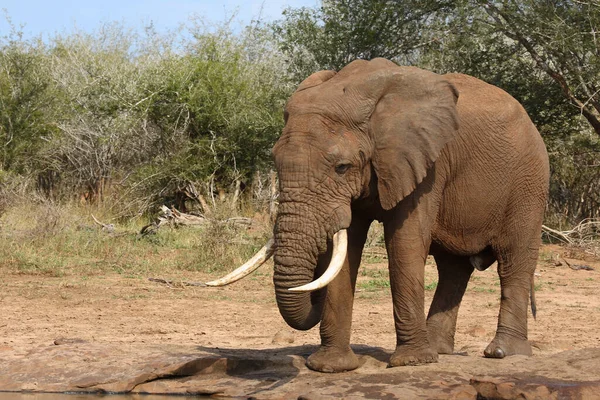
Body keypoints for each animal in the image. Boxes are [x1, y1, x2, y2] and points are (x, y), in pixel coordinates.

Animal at [209, 57, 552, 374]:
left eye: (342, 167)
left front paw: (410, 363)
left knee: (514, 260)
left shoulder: (426, 165)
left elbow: (404, 244)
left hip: (529, 181)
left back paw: (502, 353)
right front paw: (331, 367)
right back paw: (439, 350)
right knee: (453, 269)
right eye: (276, 162)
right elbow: (347, 249)